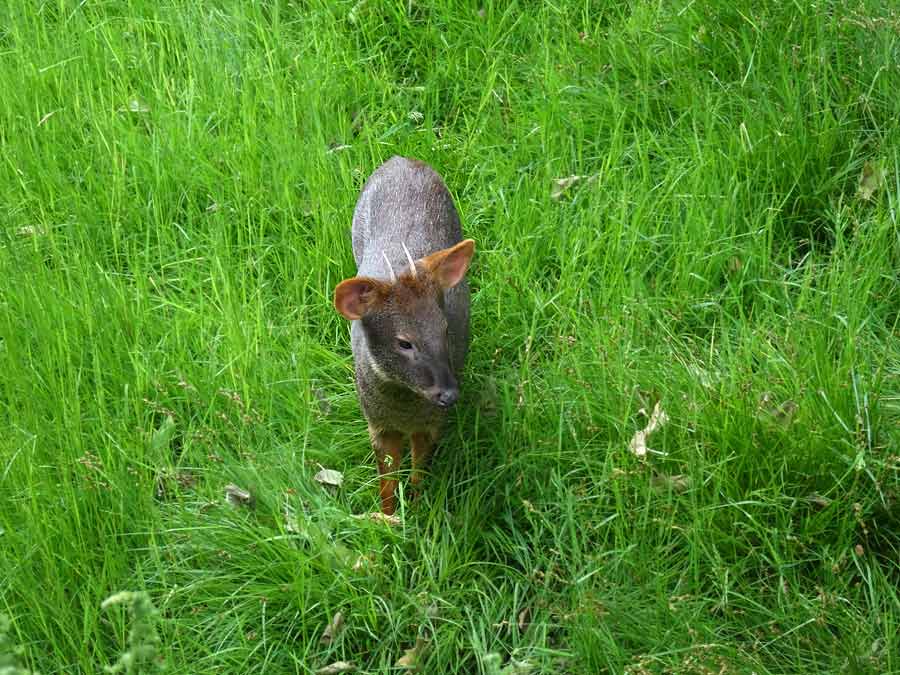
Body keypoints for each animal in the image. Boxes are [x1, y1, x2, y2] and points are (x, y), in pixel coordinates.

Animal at [334, 157, 474, 516]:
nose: (449, 395)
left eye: (446, 328)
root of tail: (402, 160)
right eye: (404, 342)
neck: (404, 406)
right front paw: (387, 516)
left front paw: (415, 506)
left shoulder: (431, 423)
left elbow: (417, 471)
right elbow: (386, 478)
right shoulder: (377, 422)